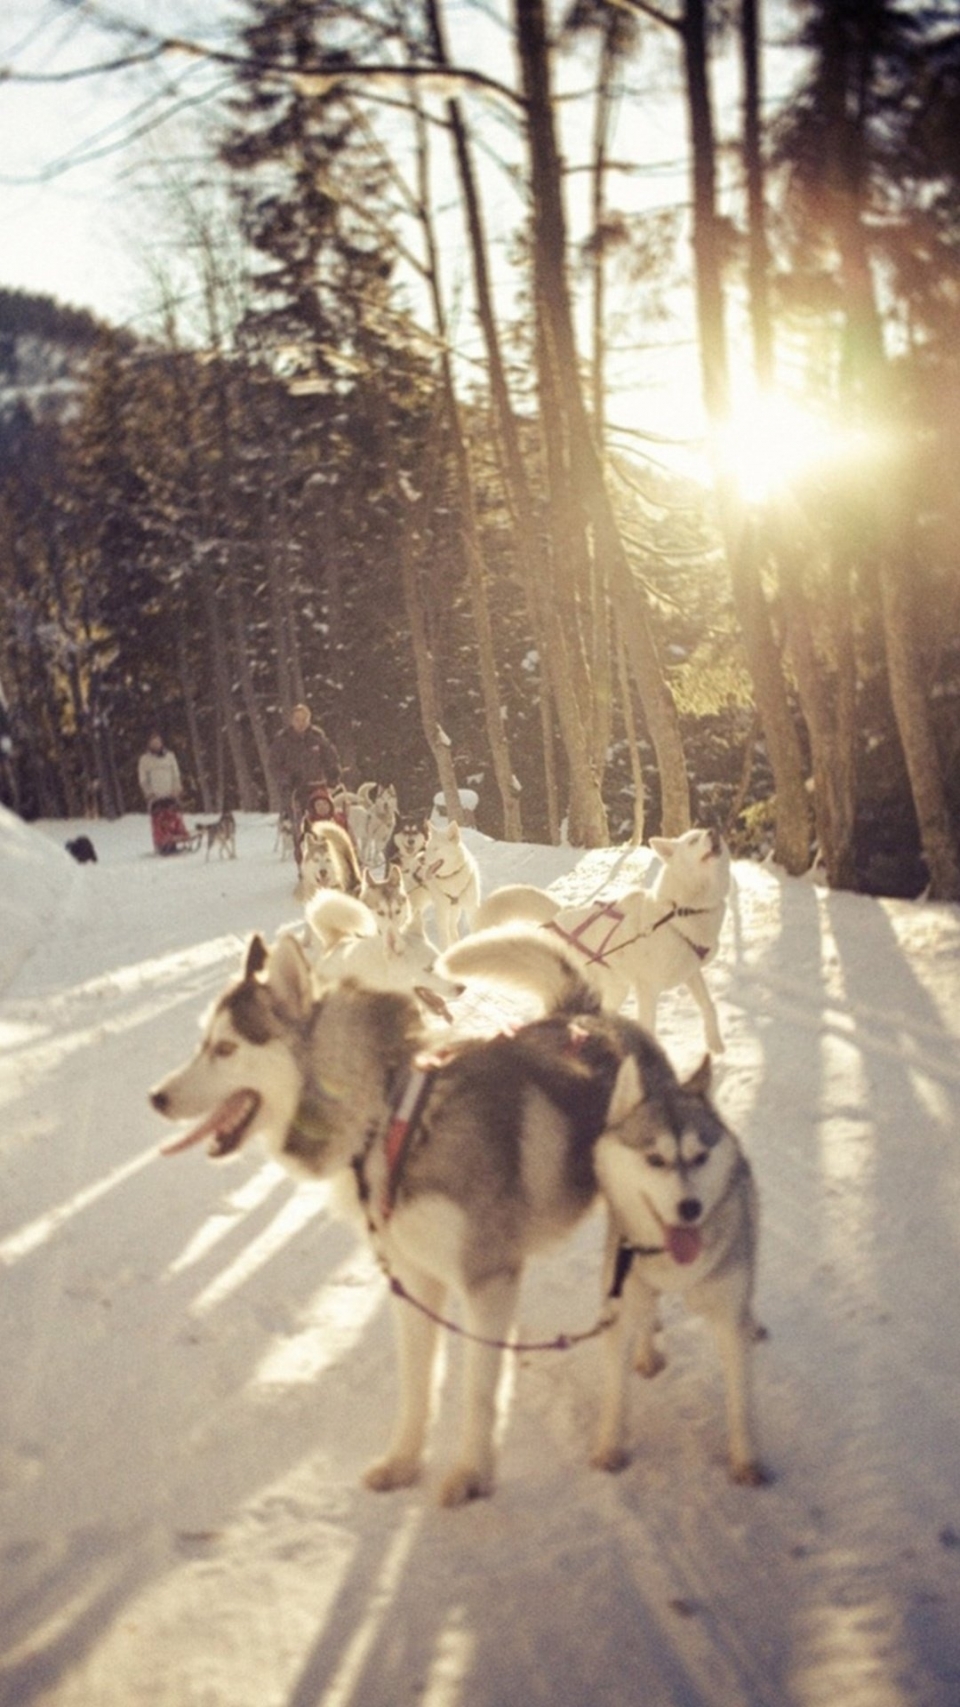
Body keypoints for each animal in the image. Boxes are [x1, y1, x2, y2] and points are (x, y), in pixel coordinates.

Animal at [149, 928, 761, 1502]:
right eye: (203, 1043)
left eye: (225, 1049)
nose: (156, 1097)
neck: (389, 1113)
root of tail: (588, 1014)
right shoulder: (413, 1281)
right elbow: (417, 1388)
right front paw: (403, 1462)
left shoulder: (486, 1282)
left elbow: (477, 1390)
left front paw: (471, 1475)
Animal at [420, 822, 478, 955]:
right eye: (427, 847)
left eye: (436, 848)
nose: (420, 859)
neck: (452, 877)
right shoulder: (441, 912)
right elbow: (444, 940)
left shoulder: (472, 908)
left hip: (455, 911)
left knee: (452, 928)